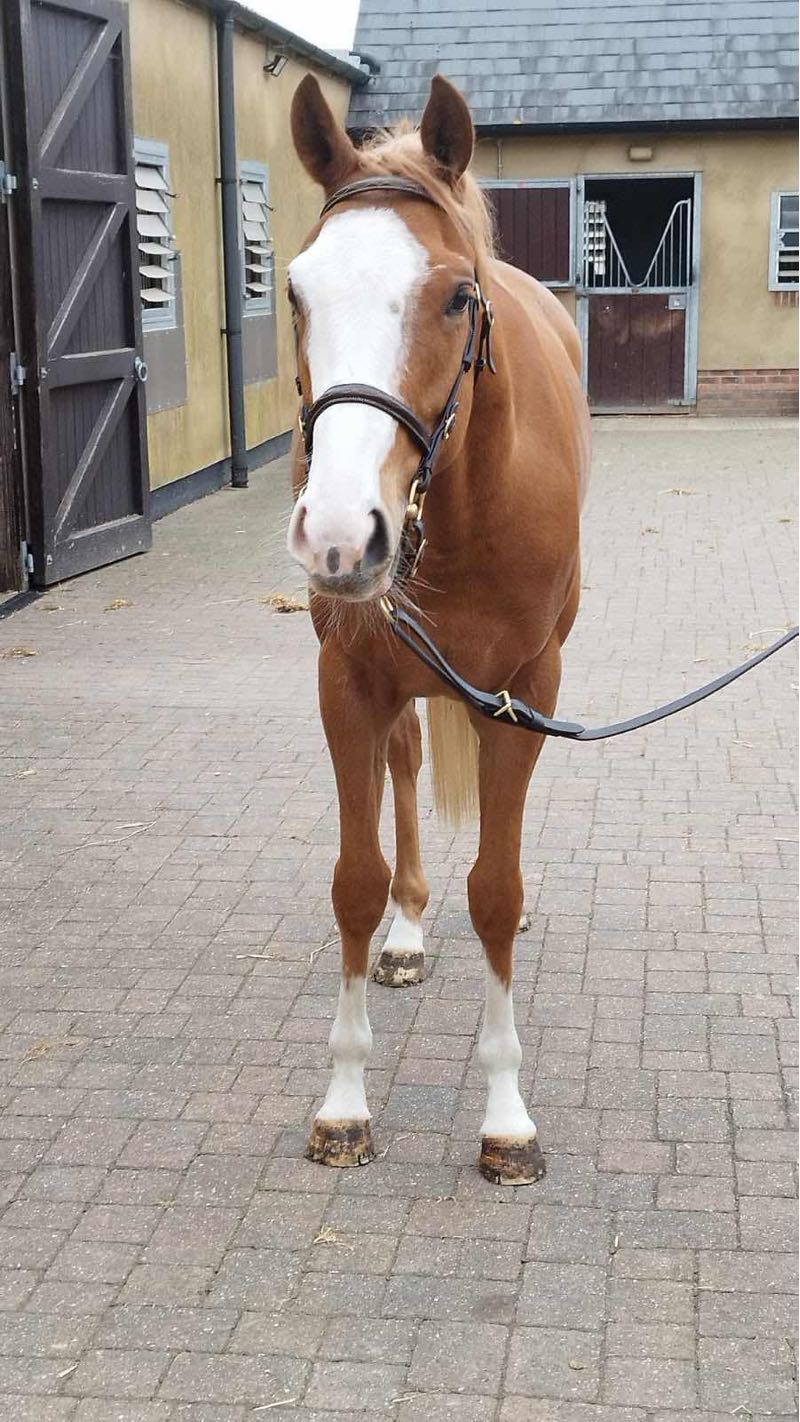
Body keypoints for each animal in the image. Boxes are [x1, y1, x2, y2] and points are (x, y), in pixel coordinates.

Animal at [286, 73, 590, 1185]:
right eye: (298, 291)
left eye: (457, 297)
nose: (342, 534)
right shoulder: (347, 682)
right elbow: (353, 882)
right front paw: (343, 1102)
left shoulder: (527, 691)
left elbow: (495, 891)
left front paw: (506, 1119)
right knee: (408, 764)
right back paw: (411, 932)